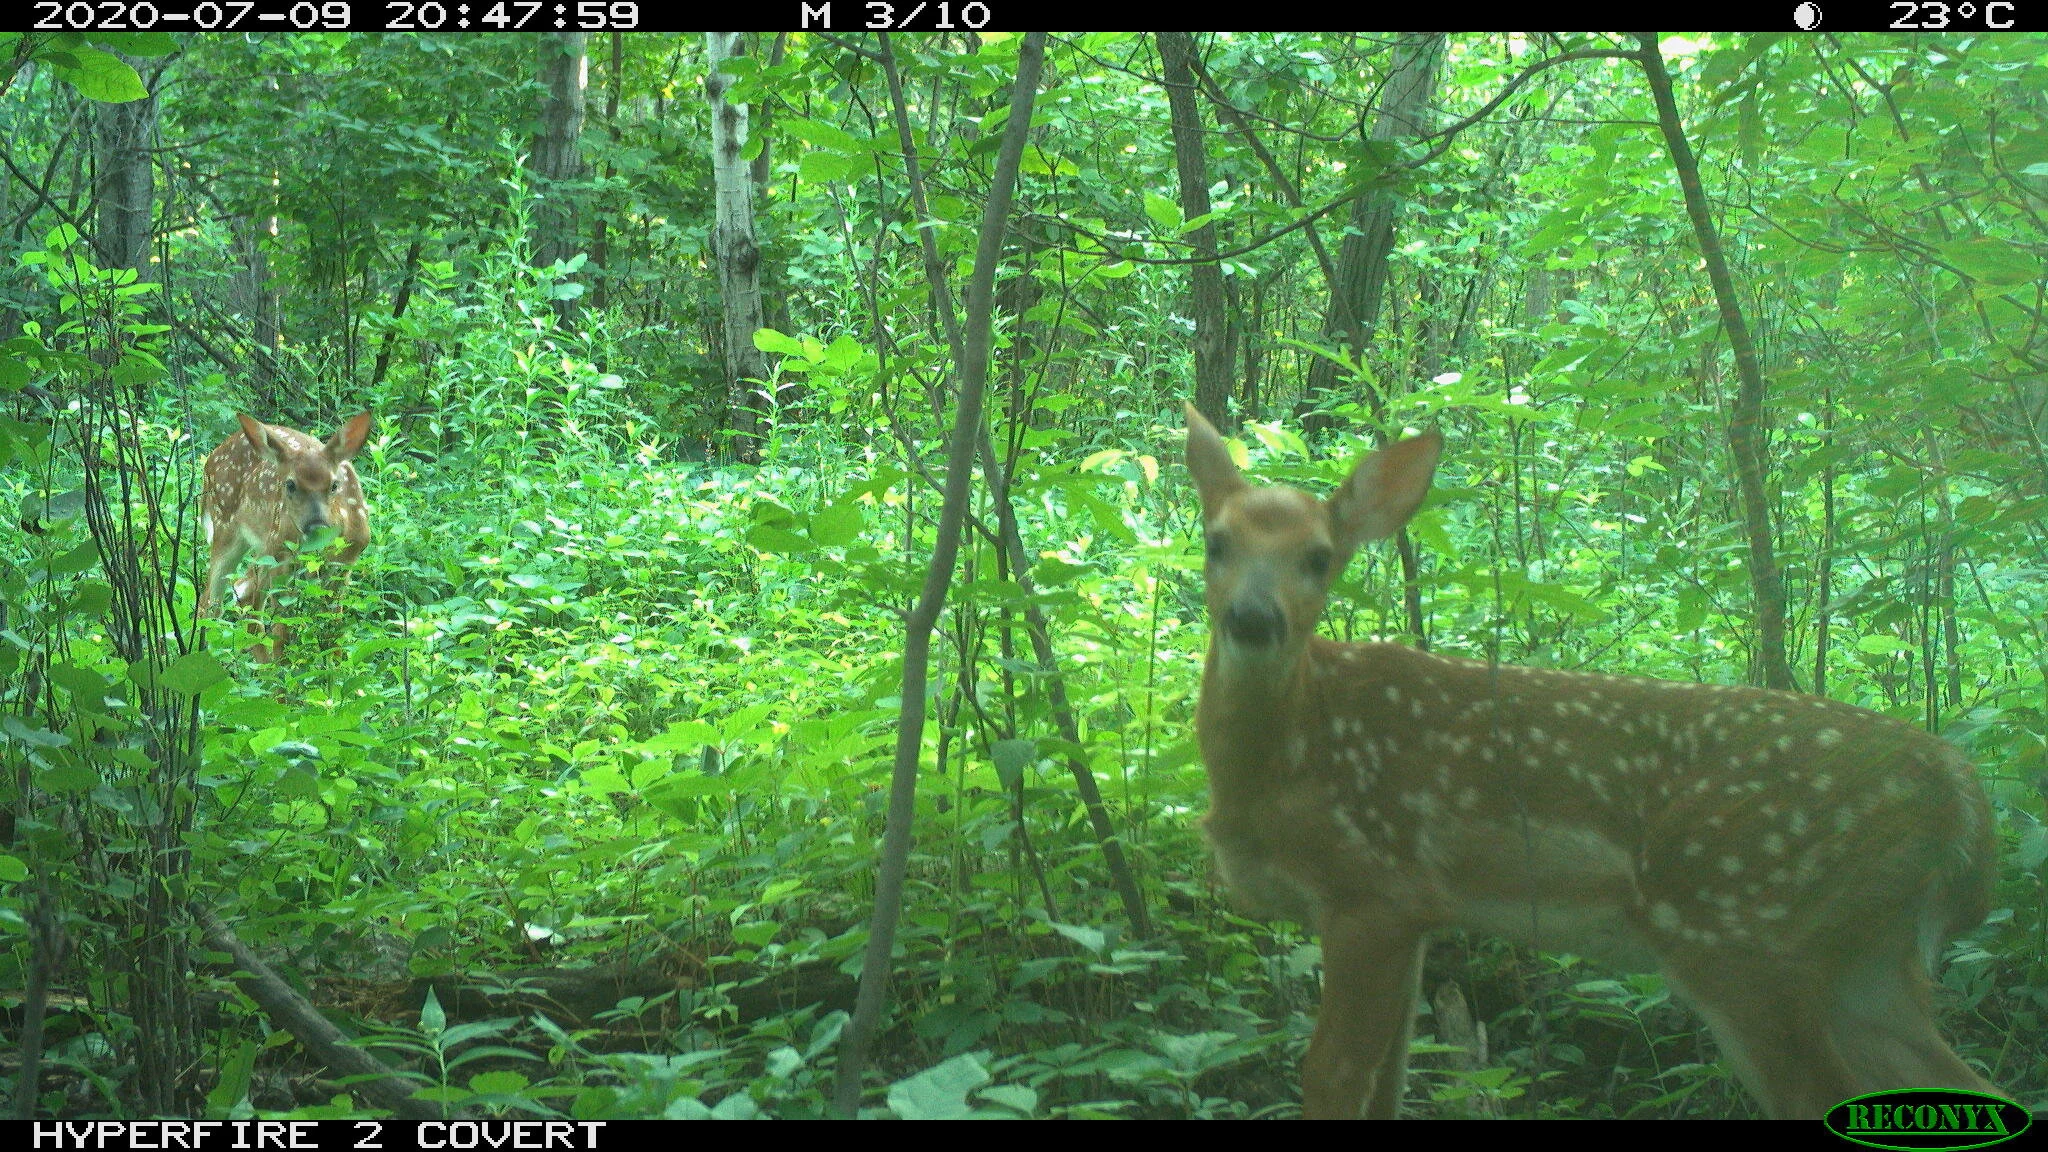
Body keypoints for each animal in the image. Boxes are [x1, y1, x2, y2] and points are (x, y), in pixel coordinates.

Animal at [200, 411, 373, 661]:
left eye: (334, 485)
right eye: (290, 484)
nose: (316, 526)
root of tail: (210, 458)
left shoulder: (345, 563)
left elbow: (334, 629)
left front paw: (336, 668)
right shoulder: (282, 560)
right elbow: (283, 631)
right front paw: (283, 670)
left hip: (265, 546)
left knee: (244, 593)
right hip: (229, 526)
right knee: (211, 602)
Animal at [1182, 402, 2001, 1120]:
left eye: (1319, 557)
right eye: (1216, 542)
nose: (1253, 619)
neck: (1290, 753)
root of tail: (1957, 788)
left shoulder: (1371, 885)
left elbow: (1332, 1074)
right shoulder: (1415, 912)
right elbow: (1392, 1080)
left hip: (1749, 933)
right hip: (1865, 959)